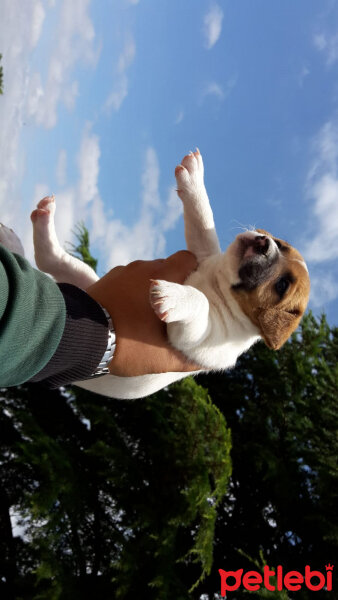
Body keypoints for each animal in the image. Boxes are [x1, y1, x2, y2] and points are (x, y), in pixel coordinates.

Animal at [0, 150, 310, 398]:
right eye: (280, 244)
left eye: (283, 285)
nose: (263, 242)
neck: (218, 283)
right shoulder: (200, 253)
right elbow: (203, 223)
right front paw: (194, 178)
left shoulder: (196, 341)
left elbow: (200, 303)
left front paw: (172, 296)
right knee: (51, 259)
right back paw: (36, 226)